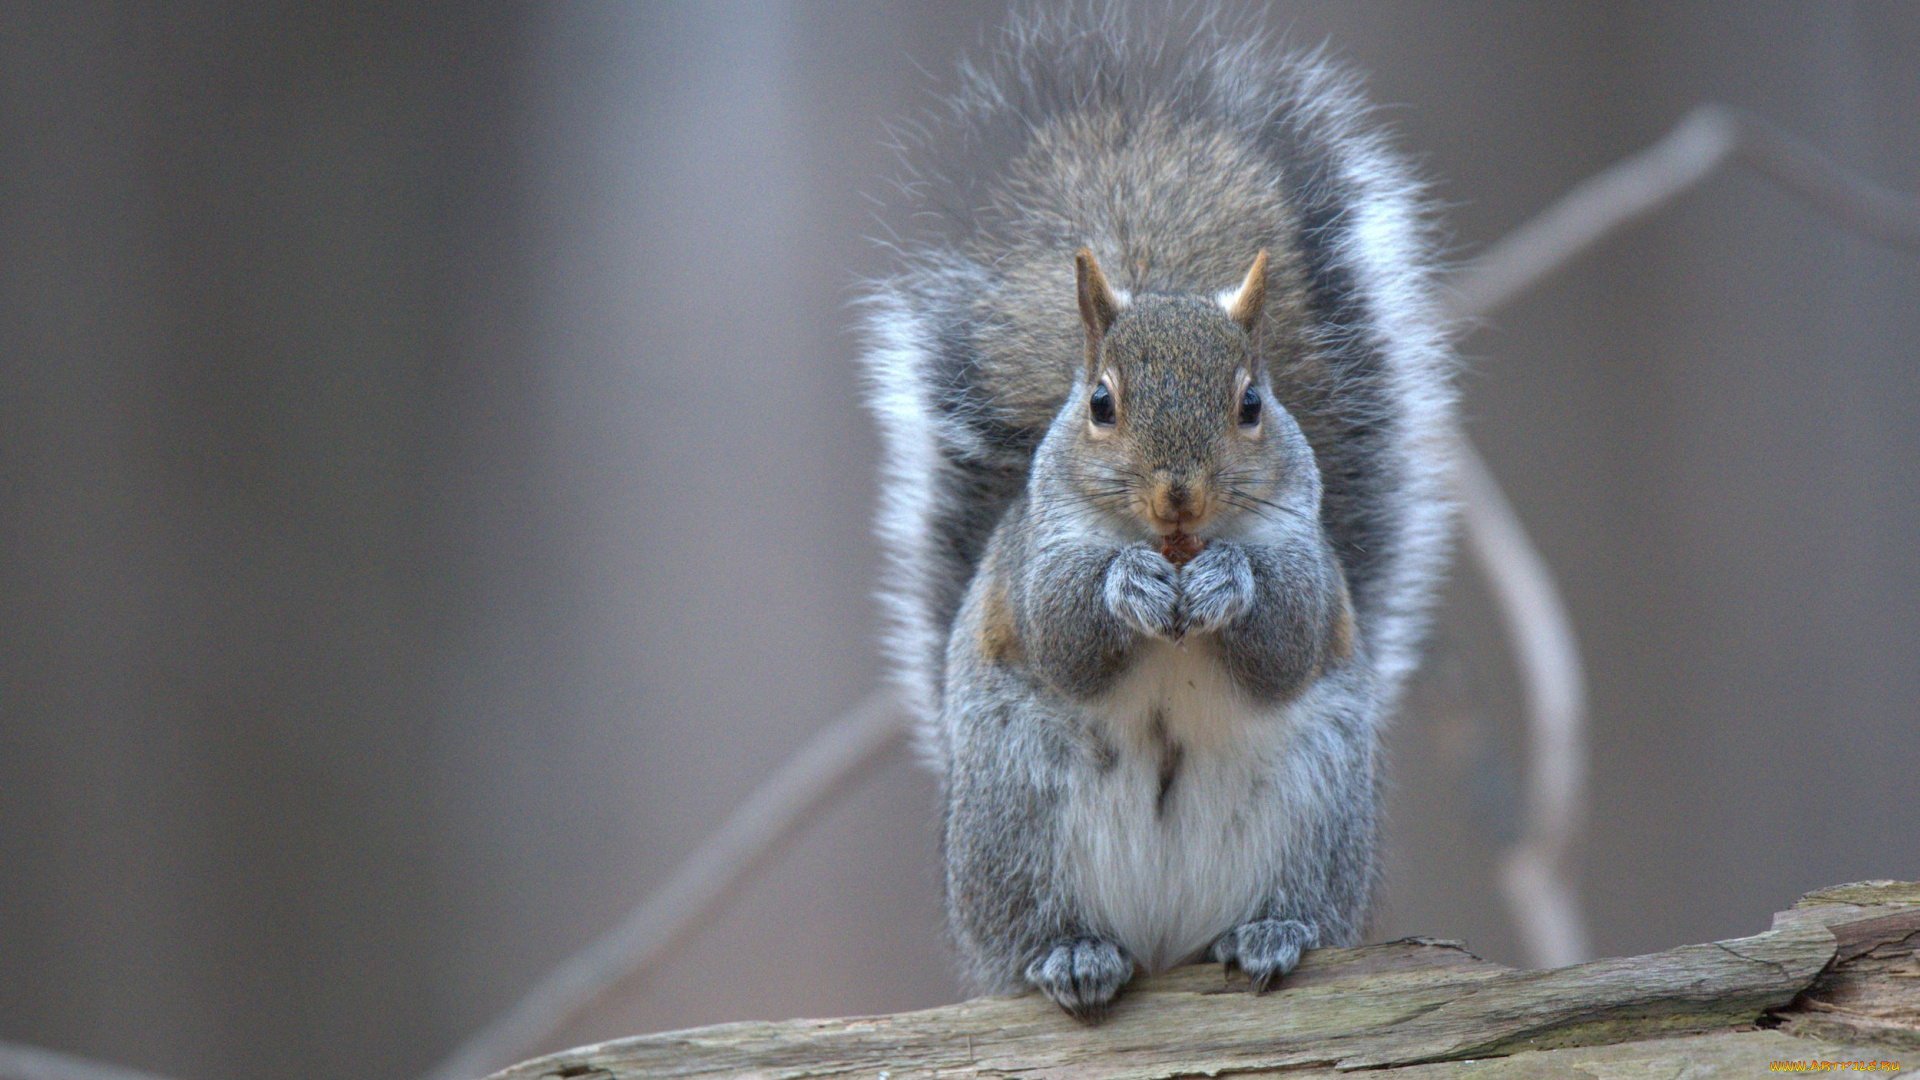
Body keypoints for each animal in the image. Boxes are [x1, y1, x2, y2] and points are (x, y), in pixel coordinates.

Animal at [864, 6, 1443, 1014]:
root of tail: (1165, 946)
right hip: (1016, 819)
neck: (1175, 543)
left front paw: (1227, 582)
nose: (1179, 495)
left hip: (1316, 811)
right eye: (1100, 403)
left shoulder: (1309, 559)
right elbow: (1064, 633)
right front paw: (1126, 584)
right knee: (1038, 931)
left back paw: (1270, 933)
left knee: (1285, 907)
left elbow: (1286, 638)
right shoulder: (1036, 558)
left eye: (1252, 403)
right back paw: (1072, 955)